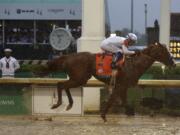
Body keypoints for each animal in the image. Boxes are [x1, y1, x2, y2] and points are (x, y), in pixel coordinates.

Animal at [38, 42, 176, 122]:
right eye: (164, 51)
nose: (173, 63)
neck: (134, 64)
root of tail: (68, 56)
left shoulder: (123, 86)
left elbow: (120, 101)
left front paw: (129, 112)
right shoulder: (120, 85)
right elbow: (114, 100)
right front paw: (104, 115)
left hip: (79, 79)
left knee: (64, 86)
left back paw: (69, 104)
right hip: (79, 78)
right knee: (61, 85)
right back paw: (58, 104)